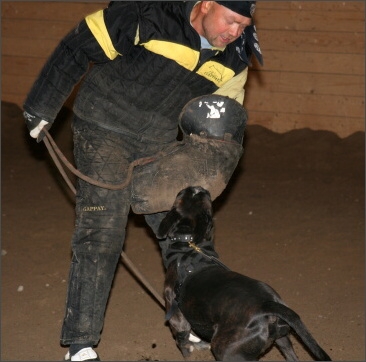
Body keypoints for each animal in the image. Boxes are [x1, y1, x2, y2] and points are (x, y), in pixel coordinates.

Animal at [158, 187, 332, 362]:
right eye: (185, 193)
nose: (199, 188)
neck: (188, 246)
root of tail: (266, 304)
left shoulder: (177, 318)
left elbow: (183, 343)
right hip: (283, 341)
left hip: (225, 350)